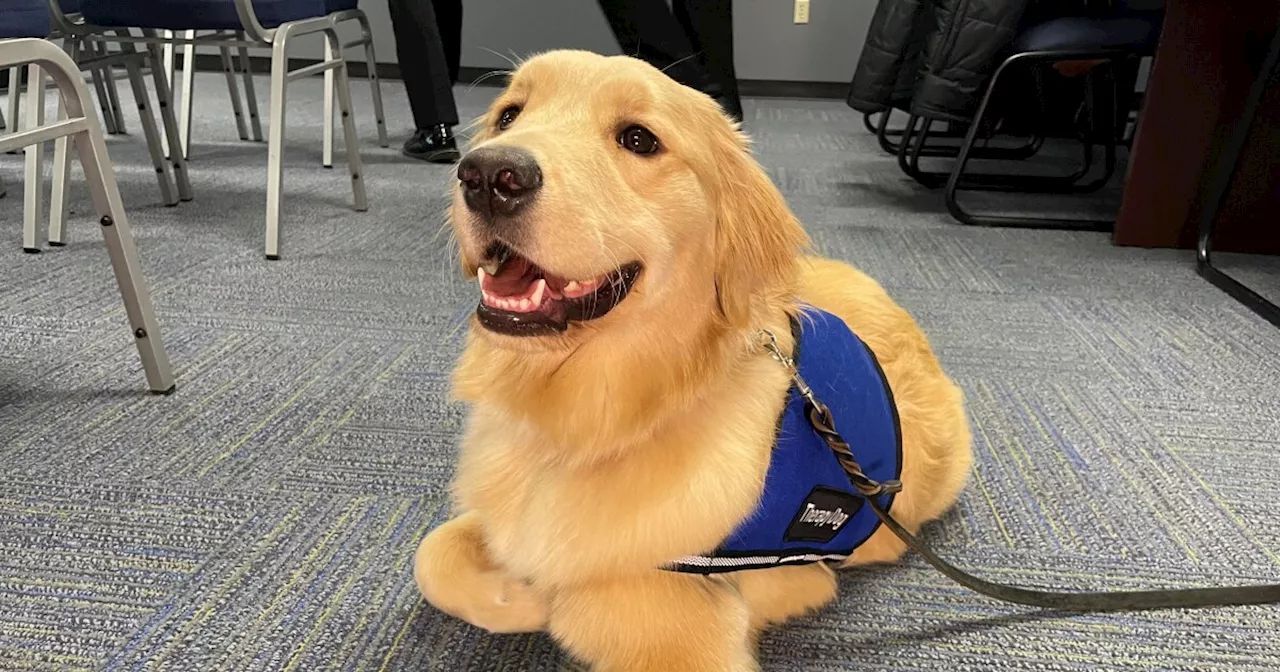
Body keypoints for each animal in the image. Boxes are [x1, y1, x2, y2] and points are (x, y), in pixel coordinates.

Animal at [414, 49, 972, 665]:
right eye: (509, 115)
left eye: (638, 138)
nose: (489, 175)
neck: (588, 422)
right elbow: (432, 553)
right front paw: (513, 594)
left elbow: (598, 599)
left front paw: (543, 599)